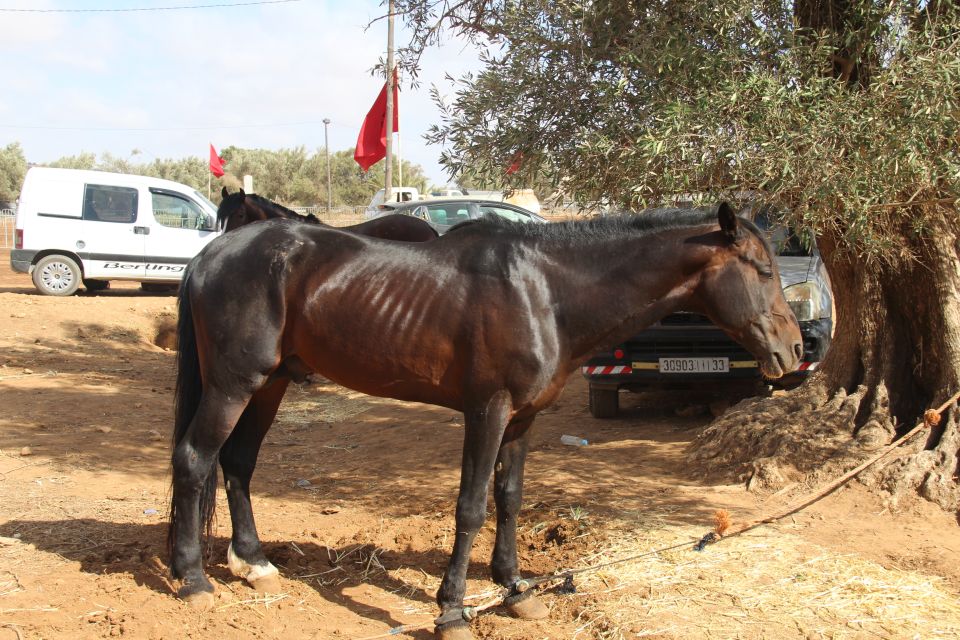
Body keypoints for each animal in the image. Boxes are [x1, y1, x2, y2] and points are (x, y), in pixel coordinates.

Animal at [167, 204, 804, 640]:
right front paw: (451, 608)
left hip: (270, 383)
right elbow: (471, 506)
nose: (795, 350)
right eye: (762, 269)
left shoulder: (523, 419)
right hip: (234, 384)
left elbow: (510, 497)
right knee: (196, 460)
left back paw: (253, 563)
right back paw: (193, 579)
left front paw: (515, 588)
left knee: (237, 463)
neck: (546, 292)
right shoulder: (487, 411)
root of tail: (208, 256)